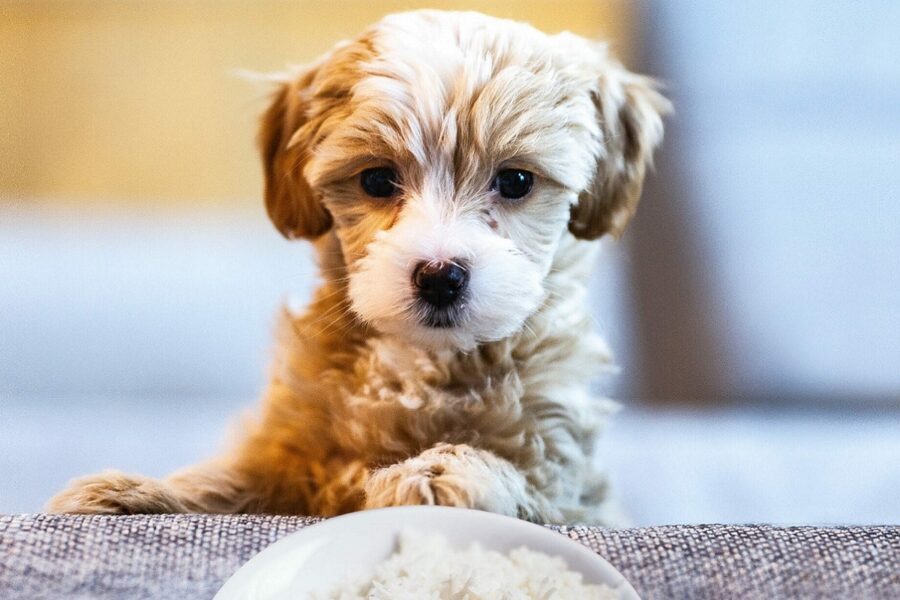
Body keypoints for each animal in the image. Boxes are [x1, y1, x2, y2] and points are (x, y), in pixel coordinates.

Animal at [47, 10, 668, 524]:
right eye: (376, 180)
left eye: (515, 181)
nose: (440, 276)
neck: (421, 362)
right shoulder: (290, 447)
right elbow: (232, 478)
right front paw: (135, 492)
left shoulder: (568, 481)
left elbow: (521, 481)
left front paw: (440, 470)